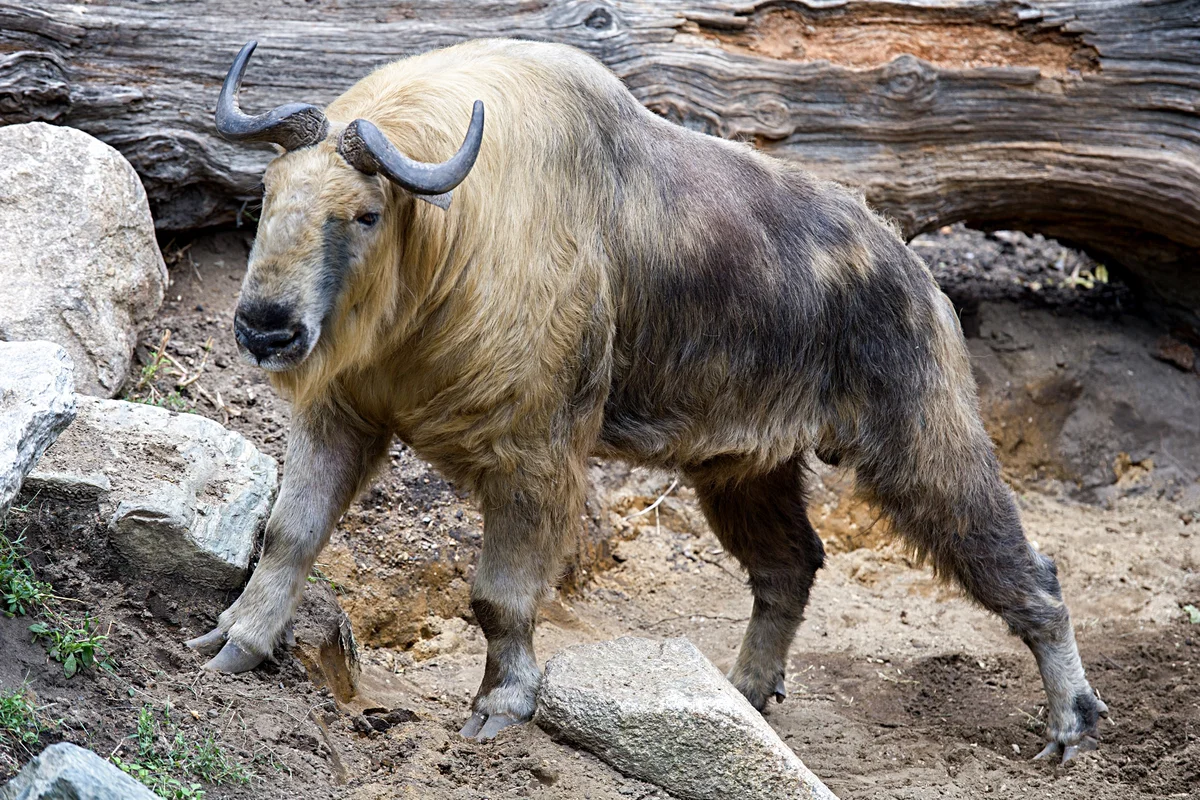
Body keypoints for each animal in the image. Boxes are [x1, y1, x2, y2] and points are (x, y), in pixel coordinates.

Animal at [189, 38, 1106, 760]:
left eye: (365, 213)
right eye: (268, 197)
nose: (266, 328)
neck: (451, 241)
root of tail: (916, 274)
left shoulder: (535, 454)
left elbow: (499, 594)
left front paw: (502, 707)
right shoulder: (341, 416)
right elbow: (290, 534)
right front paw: (237, 642)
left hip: (921, 445)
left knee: (1028, 570)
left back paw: (1071, 718)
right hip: (743, 471)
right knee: (790, 566)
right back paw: (746, 693)